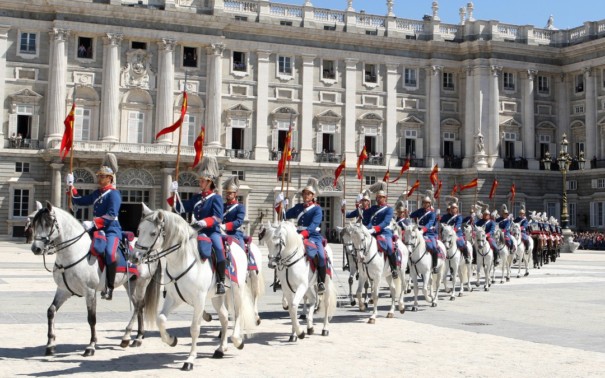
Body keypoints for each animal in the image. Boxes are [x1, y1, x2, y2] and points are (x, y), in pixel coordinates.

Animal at [28, 202, 160, 356]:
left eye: (48, 223)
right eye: (34, 223)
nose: (35, 248)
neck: (74, 252)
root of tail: (152, 249)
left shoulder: (90, 291)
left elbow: (91, 319)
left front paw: (91, 346)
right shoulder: (63, 290)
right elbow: (51, 311)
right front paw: (50, 344)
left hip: (141, 283)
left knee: (138, 306)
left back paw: (128, 337)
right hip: (130, 285)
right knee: (139, 306)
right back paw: (138, 336)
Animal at [132, 205, 255, 370]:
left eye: (152, 233)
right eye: (139, 230)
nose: (134, 257)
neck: (181, 260)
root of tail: (237, 245)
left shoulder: (199, 300)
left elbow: (195, 328)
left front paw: (190, 359)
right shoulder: (174, 298)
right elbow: (161, 319)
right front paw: (171, 340)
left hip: (237, 289)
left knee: (238, 313)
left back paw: (237, 340)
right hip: (217, 296)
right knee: (224, 317)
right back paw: (221, 349)